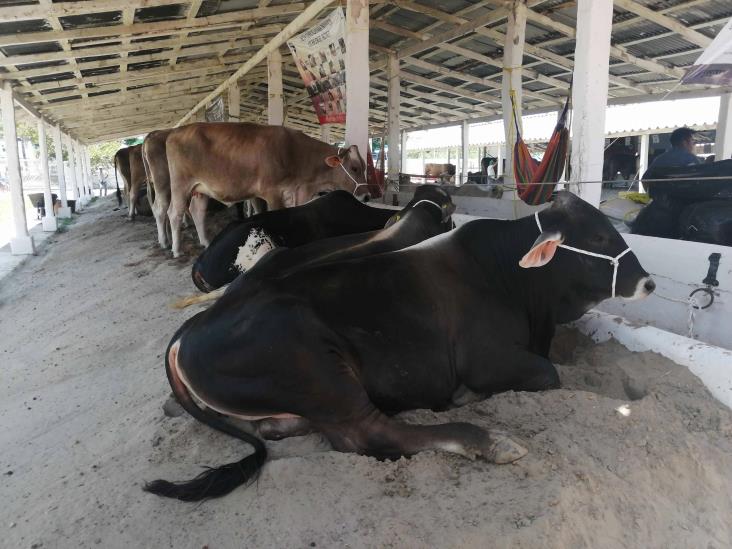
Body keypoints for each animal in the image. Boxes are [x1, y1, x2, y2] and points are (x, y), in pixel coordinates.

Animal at [164, 122, 366, 256]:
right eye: (355, 168)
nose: (366, 195)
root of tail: (176, 131)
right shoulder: (272, 193)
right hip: (181, 184)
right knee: (174, 213)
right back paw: (176, 249)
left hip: (200, 189)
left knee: (196, 211)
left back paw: (206, 242)